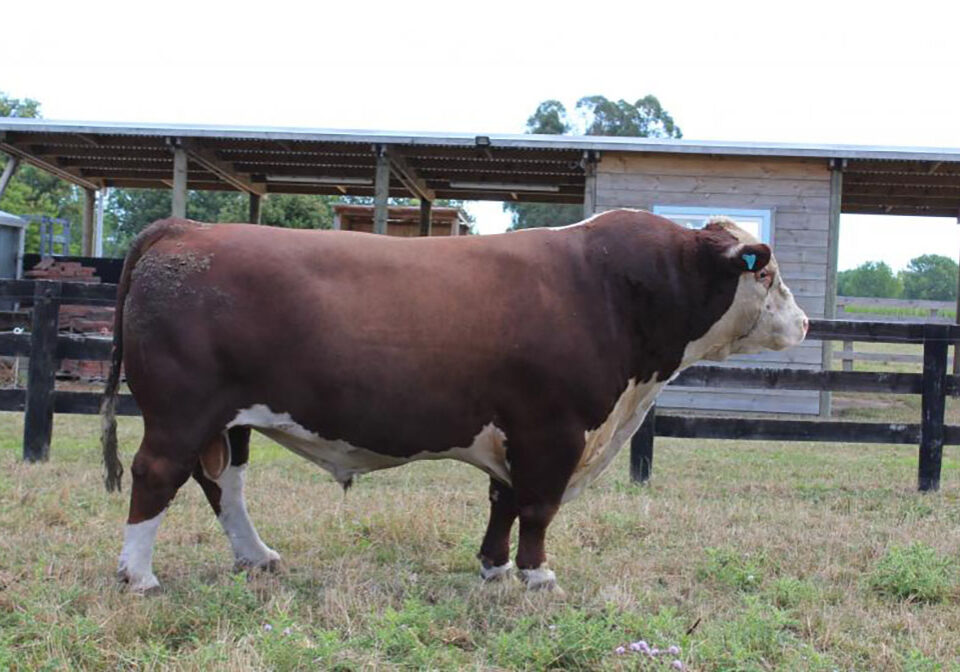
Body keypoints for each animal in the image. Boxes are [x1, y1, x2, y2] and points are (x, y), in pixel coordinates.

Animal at [100, 209, 808, 593]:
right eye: (768, 272)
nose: (803, 323)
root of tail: (185, 228)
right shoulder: (553, 429)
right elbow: (539, 508)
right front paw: (536, 575)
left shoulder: (515, 432)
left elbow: (505, 501)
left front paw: (493, 568)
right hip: (180, 410)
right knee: (155, 474)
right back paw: (139, 575)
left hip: (229, 420)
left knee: (223, 484)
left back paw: (257, 557)